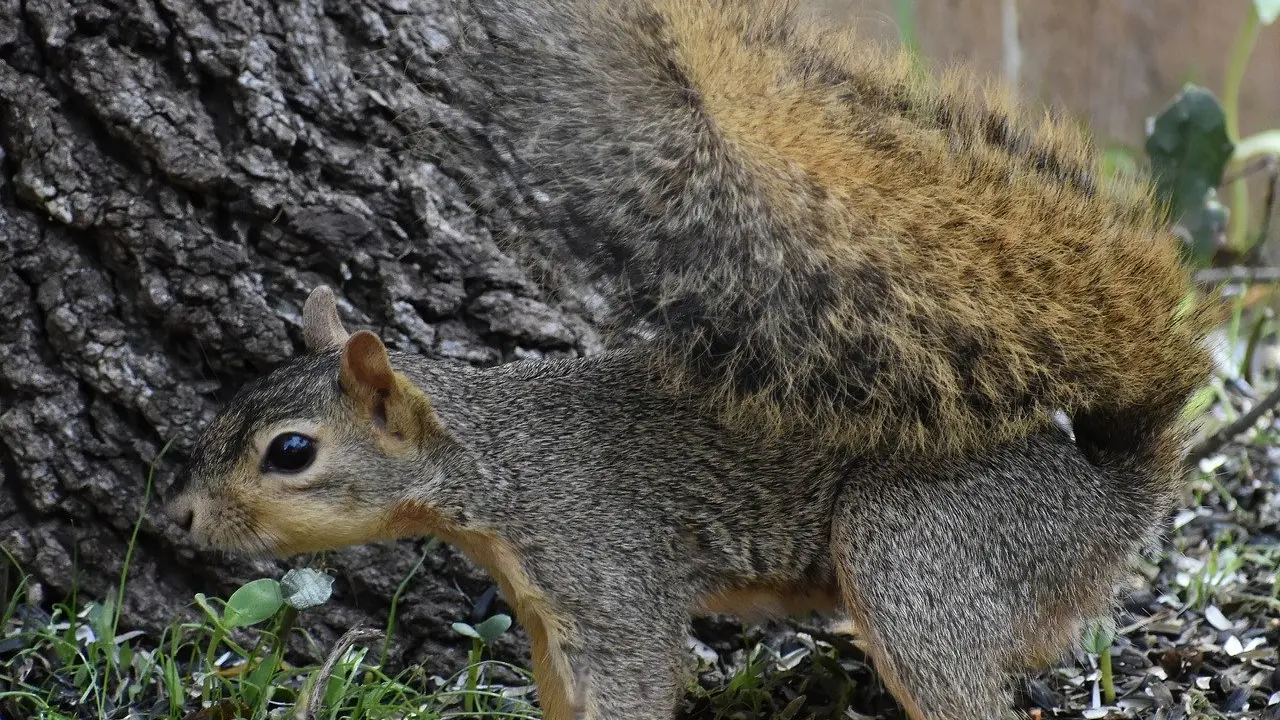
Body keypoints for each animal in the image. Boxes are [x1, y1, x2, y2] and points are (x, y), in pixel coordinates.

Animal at [165, 1, 1213, 717]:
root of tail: (1107, 495)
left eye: (290, 452)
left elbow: (636, 682)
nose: (179, 517)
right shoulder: (549, 614)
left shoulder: (606, 573)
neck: (495, 464)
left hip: (920, 553)